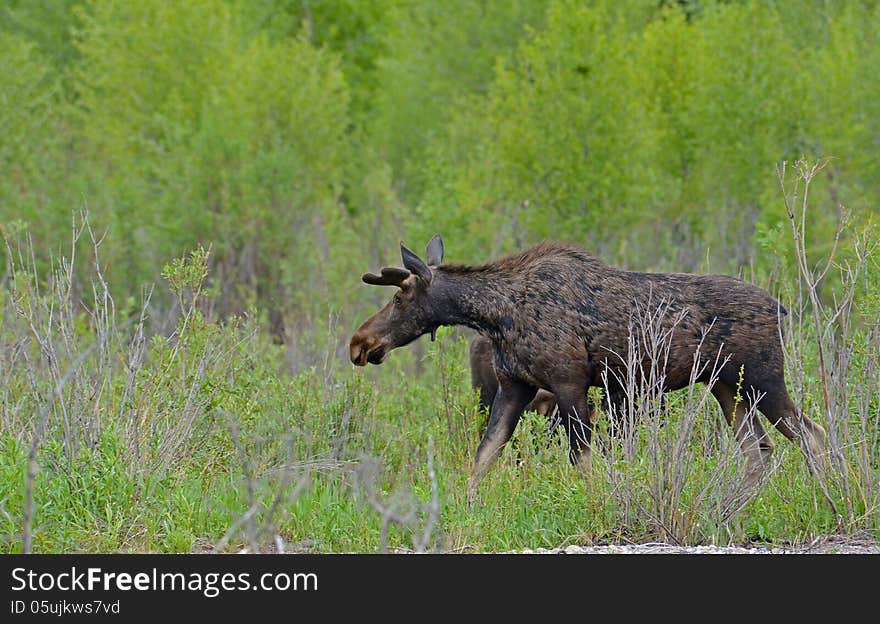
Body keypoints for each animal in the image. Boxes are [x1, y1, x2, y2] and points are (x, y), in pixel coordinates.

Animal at [348, 234, 824, 502]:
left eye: (399, 298)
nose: (359, 343)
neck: (496, 316)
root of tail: (781, 307)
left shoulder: (569, 383)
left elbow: (582, 462)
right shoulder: (514, 386)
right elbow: (482, 459)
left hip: (765, 380)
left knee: (812, 435)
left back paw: (829, 492)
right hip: (727, 387)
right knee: (759, 451)